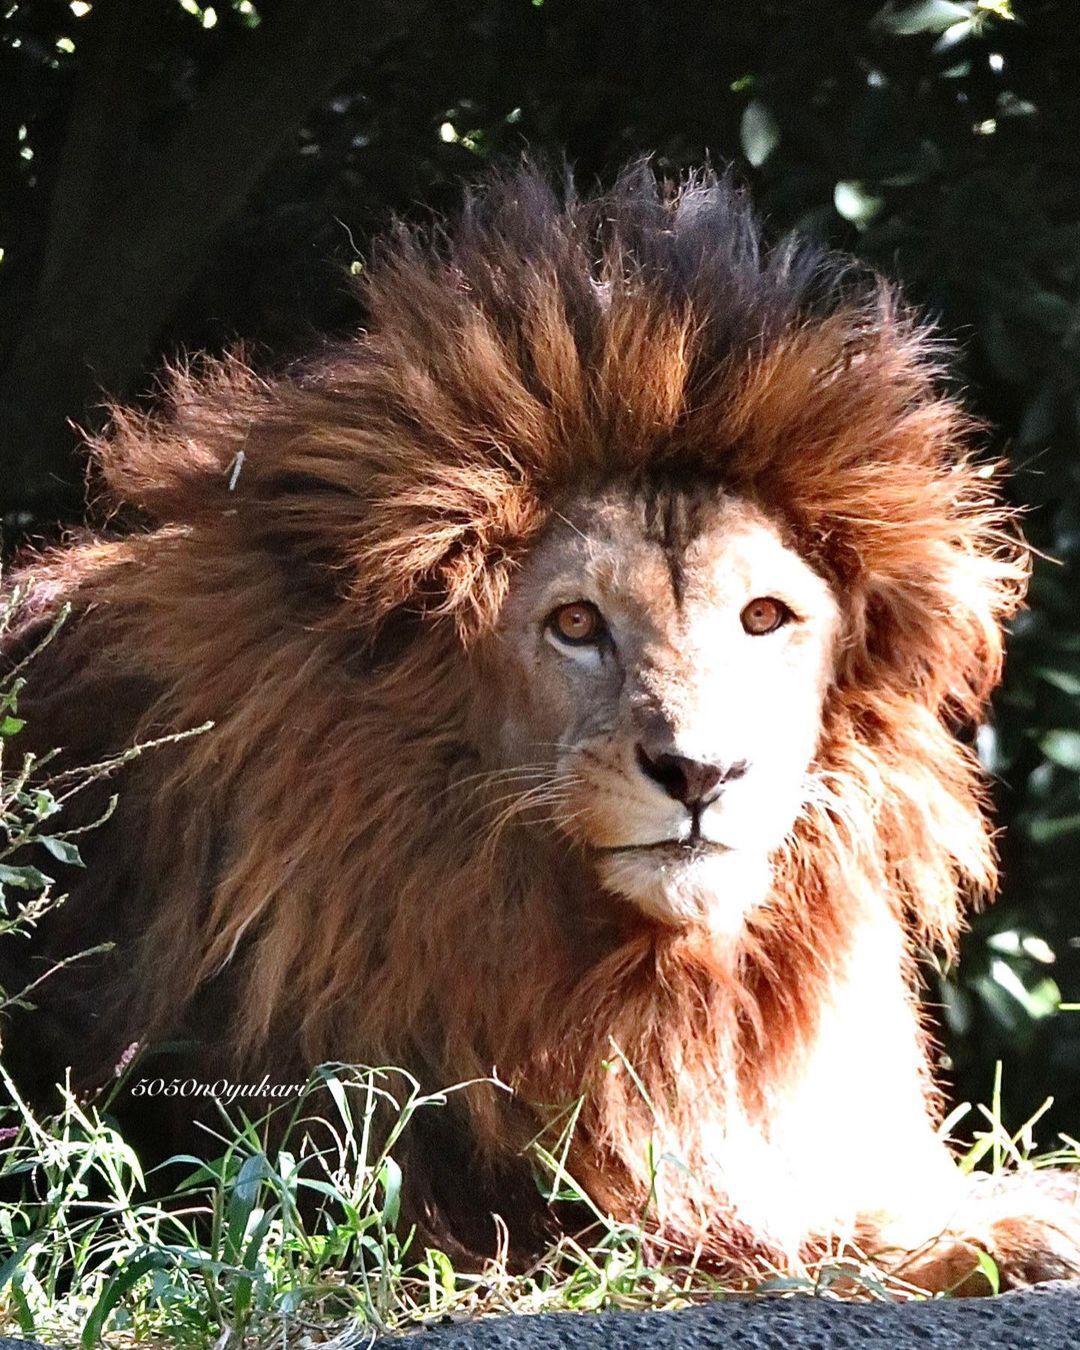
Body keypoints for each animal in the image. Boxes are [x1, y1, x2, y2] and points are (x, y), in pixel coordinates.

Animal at [2, 163, 1080, 1290]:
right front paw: (1003, 1229)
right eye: (574, 624)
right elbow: (788, 1246)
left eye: (764, 617)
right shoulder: (463, 1202)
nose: (702, 774)